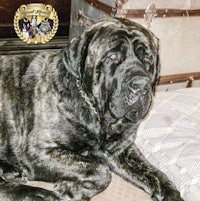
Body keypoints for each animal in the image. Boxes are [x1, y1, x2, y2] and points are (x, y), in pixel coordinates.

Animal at [0, 18, 183, 200]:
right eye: (112, 56)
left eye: (148, 58)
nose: (141, 85)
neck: (99, 118)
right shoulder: (38, 151)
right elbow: (101, 170)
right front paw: (70, 188)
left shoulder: (121, 149)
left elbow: (156, 174)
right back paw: (40, 193)